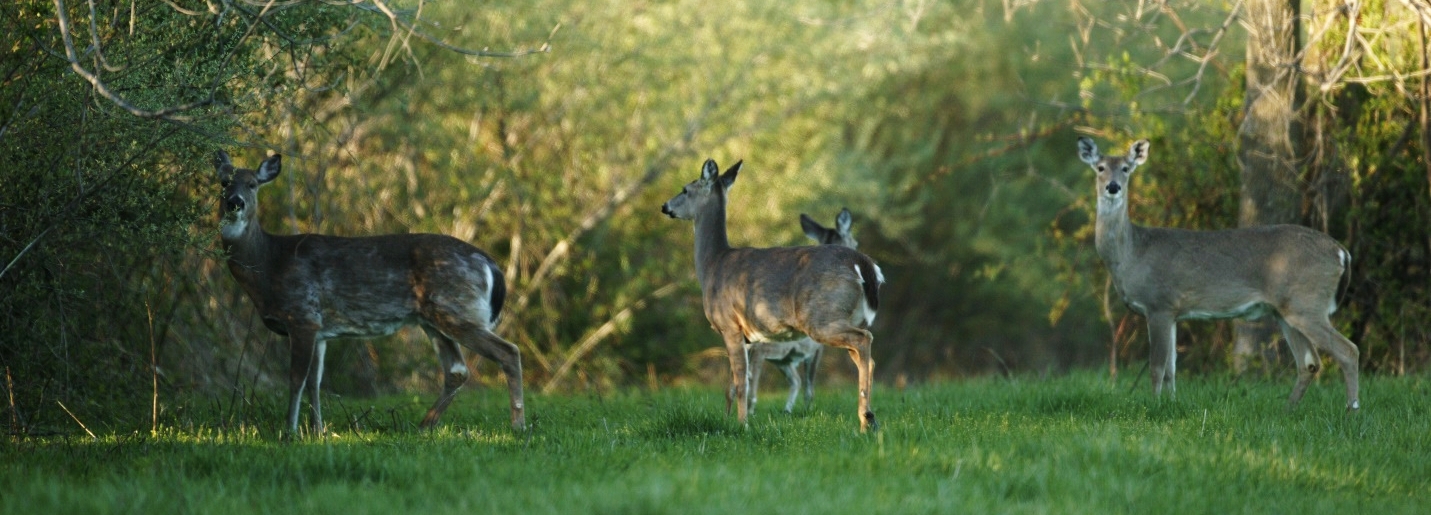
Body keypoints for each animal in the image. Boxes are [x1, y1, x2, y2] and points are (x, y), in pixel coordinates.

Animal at [211, 150, 526, 437]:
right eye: (224, 181)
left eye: (252, 184)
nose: (235, 202)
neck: (269, 264)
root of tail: (490, 264)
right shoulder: (320, 330)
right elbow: (315, 381)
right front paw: (317, 430)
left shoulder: (302, 314)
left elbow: (296, 378)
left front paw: (290, 433)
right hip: (434, 318)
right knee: (457, 369)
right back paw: (424, 426)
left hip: (456, 309)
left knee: (508, 351)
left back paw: (518, 426)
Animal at [738, 207, 858, 412]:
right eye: (854, 242)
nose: (858, 249)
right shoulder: (816, 348)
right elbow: (810, 386)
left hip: (780, 357)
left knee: (793, 379)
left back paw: (785, 409)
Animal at [1076, 135, 1362, 409]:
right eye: (1100, 168)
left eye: (1126, 168)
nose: (1113, 186)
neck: (1131, 253)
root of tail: (1341, 252)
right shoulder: (1174, 312)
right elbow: (1171, 370)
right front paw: (1170, 405)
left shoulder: (1159, 303)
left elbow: (1157, 368)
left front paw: (1153, 406)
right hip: (1285, 310)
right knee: (1309, 362)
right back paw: (1287, 410)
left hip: (1307, 302)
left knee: (1348, 351)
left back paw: (1351, 410)